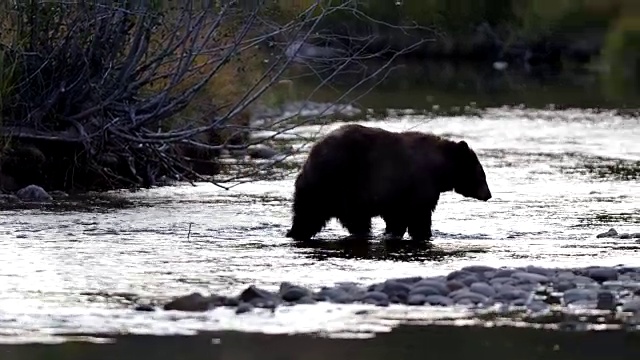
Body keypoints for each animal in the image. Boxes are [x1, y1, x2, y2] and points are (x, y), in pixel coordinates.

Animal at [284, 122, 490, 243]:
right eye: (481, 174)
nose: (488, 194)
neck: (440, 168)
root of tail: (311, 156)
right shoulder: (418, 184)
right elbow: (419, 214)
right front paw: (423, 234)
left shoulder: (396, 195)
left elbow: (397, 218)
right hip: (339, 186)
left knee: (307, 215)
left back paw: (295, 233)